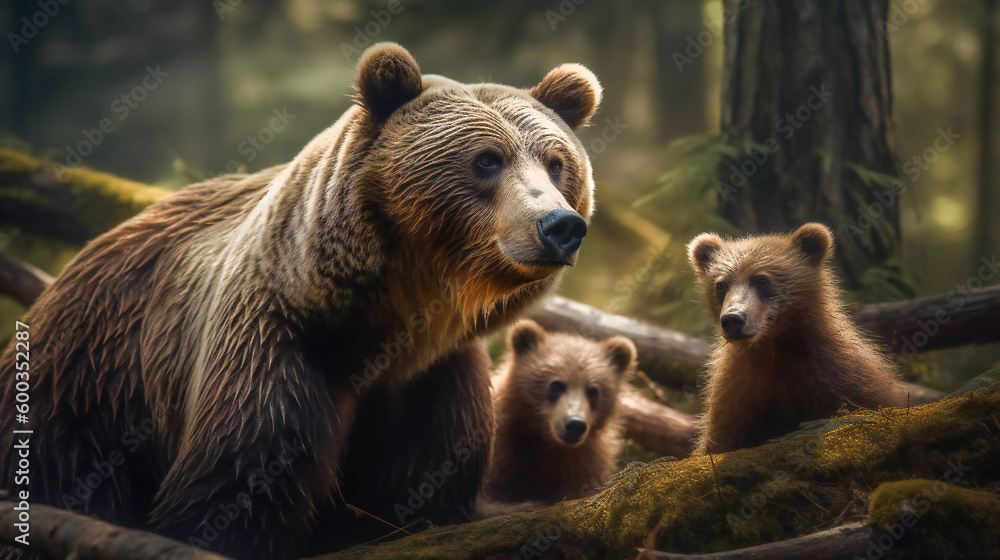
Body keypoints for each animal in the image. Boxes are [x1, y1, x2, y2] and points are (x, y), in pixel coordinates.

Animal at [0, 43, 602, 560]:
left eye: (556, 162)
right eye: (486, 159)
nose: (560, 225)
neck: (391, 319)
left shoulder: (433, 379)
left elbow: (423, 494)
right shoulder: (274, 343)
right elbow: (235, 488)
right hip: (87, 387)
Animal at [687, 222, 903, 455]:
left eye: (762, 280)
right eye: (720, 285)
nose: (733, 319)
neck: (774, 347)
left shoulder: (846, 382)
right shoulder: (736, 395)